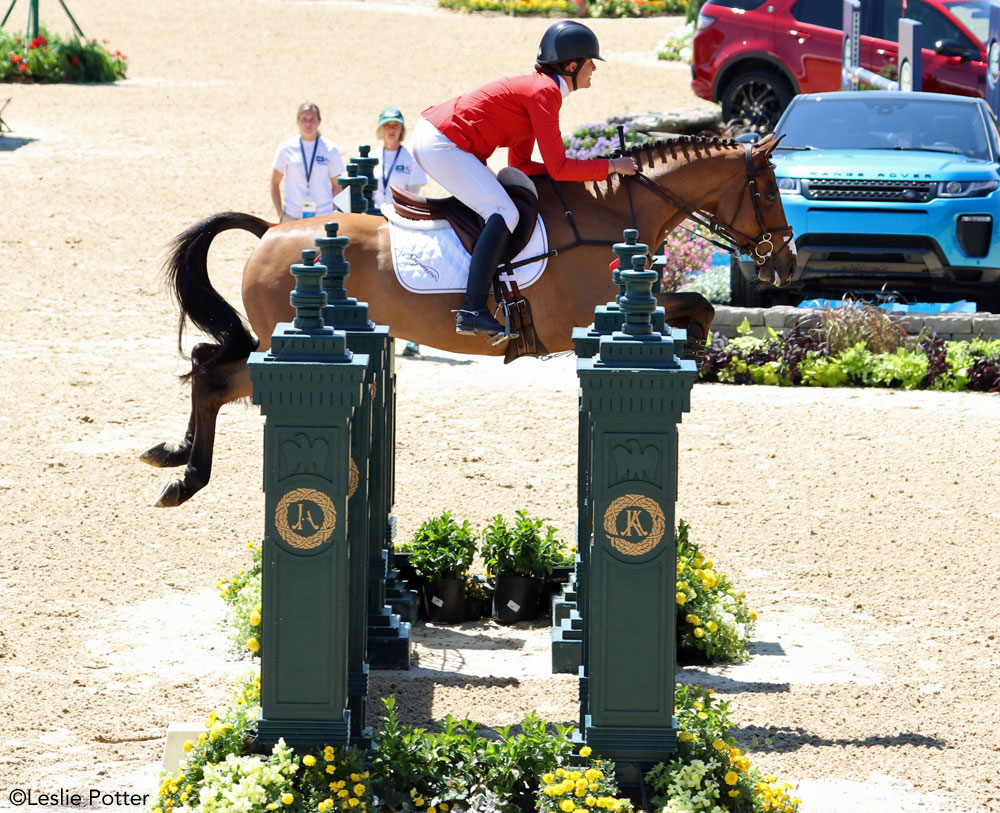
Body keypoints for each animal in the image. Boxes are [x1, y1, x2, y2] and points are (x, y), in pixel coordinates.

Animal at [143, 132, 796, 508]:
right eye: (769, 190)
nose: (786, 261)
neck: (613, 215)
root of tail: (272, 231)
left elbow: (697, 304)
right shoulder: (585, 315)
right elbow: (697, 306)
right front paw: (697, 352)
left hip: (271, 336)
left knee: (205, 360)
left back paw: (174, 453)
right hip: (283, 344)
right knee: (216, 377)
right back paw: (187, 477)